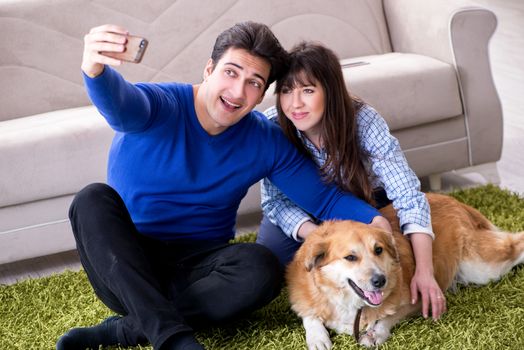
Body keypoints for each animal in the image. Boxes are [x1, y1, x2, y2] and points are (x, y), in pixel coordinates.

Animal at [286, 193, 524, 348]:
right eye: (350, 257)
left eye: (378, 250)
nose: (380, 281)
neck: (350, 303)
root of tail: (454, 201)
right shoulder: (303, 297)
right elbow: (310, 315)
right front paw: (318, 338)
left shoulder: (419, 299)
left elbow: (388, 316)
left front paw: (376, 333)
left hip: (482, 268)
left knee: (516, 244)